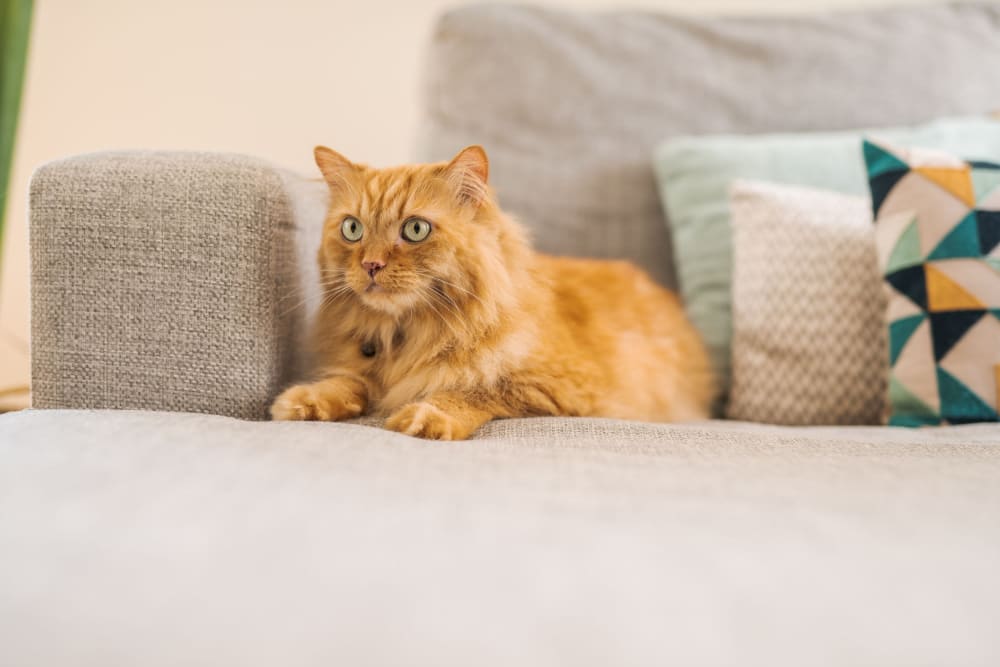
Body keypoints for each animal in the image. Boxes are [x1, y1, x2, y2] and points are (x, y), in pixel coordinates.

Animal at [270, 144, 716, 440]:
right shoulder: (362, 369)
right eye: (352, 229)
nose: (371, 265)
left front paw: (427, 416)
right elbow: (346, 384)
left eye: (415, 229)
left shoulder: (553, 387)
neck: (406, 336)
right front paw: (304, 400)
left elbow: (471, 390)